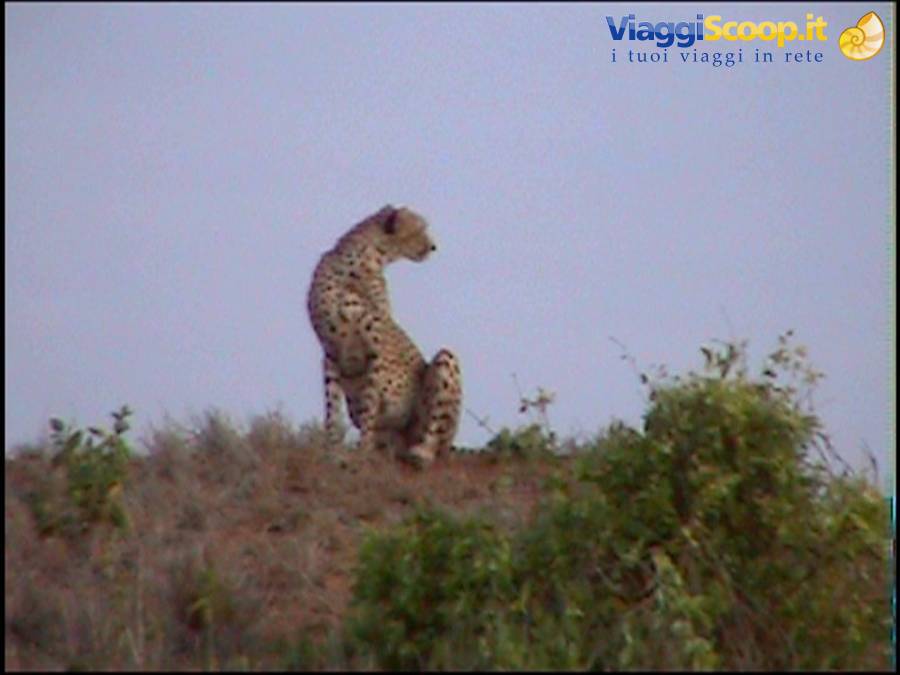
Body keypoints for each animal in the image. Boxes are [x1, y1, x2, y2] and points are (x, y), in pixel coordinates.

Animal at [306, 204, 462, 467]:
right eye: (420, 228)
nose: (433, 247)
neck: (365, 259)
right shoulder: (330, 349)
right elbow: (332, 405)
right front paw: (332, 449)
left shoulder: (375, 349)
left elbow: (370, 402)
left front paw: (362, 450)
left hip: (444, 365)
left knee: (437, 441)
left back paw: (422, 452)